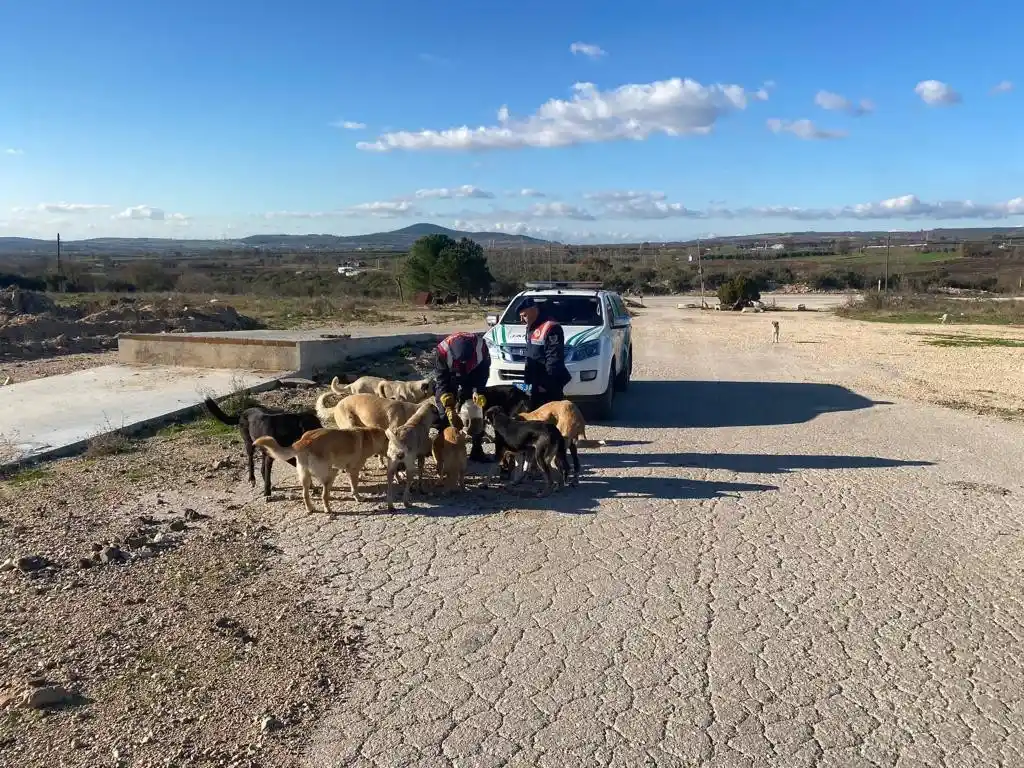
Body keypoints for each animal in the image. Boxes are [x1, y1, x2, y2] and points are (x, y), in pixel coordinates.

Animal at [253, 428, 385, 518]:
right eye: (387, 439)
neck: (368, 436)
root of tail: (305, 440)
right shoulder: (353, 470)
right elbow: (355, 487)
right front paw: (358, 497)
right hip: (330, 474)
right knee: (324, 495)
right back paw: (328, 509)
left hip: (305, 477)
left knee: (305, 494)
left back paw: (310, 508)